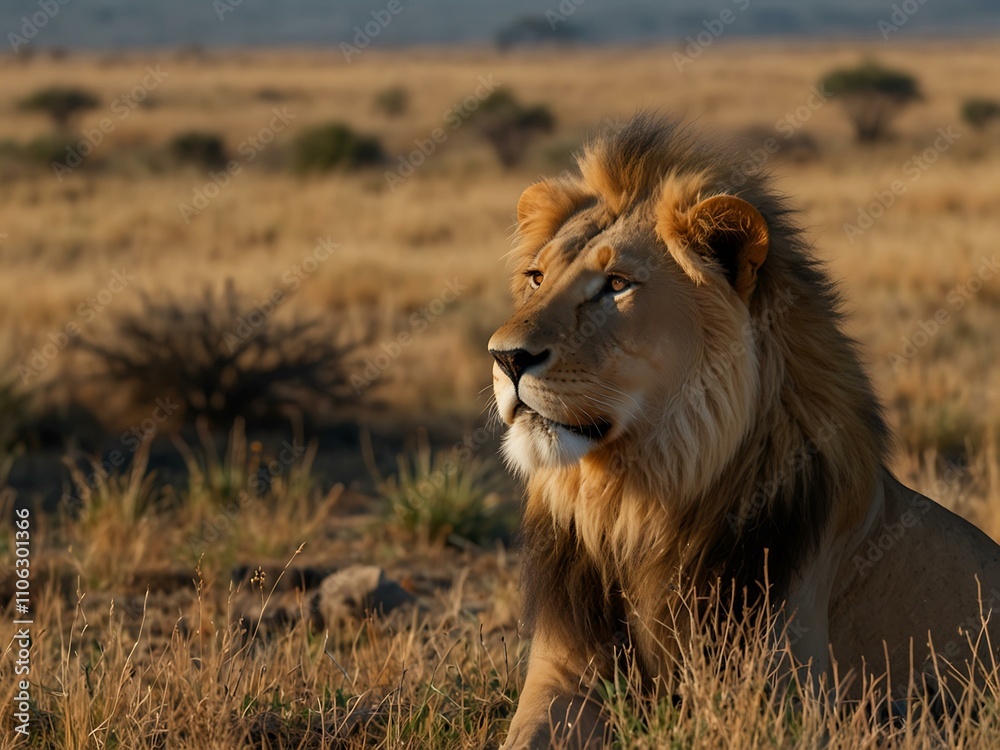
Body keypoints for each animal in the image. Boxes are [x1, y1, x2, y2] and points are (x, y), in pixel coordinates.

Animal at [488, 115, 1000, 749]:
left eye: (616, 284)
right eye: (536, 278)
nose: (505, 358)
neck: (635, 501)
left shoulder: (786, 693)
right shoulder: (562, 674)